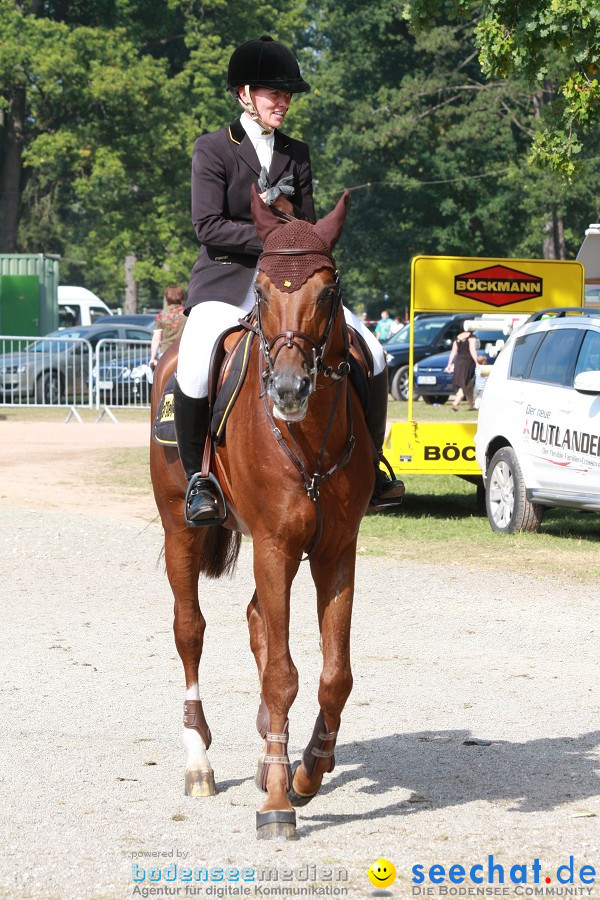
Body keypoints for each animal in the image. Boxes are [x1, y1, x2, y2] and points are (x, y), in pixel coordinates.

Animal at [149, 186, 376, 840]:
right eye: (265, 290)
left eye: (327, 292)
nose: (290, 389)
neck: (308, 437)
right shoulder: (275, 544)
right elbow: (282, 671)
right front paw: (278, 801)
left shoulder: (335, 548)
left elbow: (334, 674)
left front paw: (306, 770)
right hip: (180, 528)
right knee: (190, 630)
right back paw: (199, 761)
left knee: (255, 621)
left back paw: (264, 754)